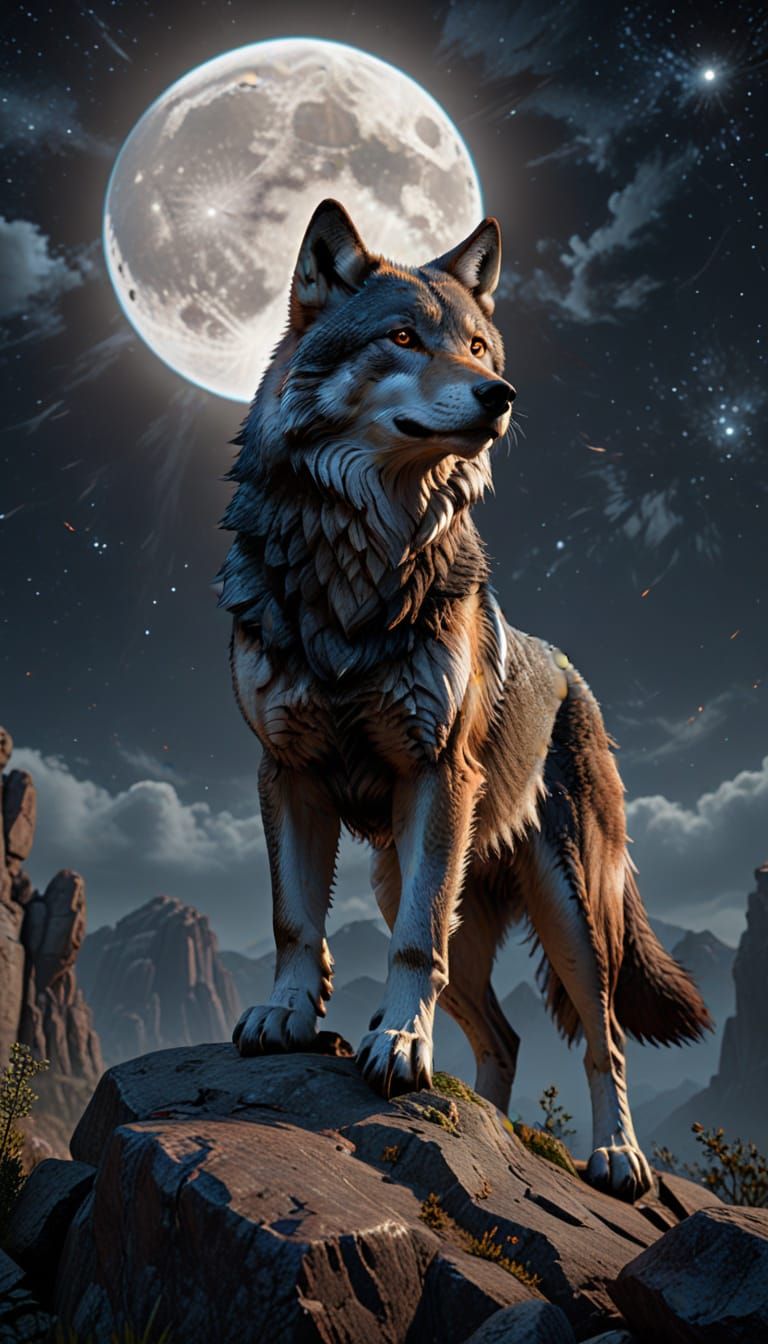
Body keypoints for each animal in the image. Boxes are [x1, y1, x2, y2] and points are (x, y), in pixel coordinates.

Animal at [217, 199, 711, 1202]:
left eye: (479, 346)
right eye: (404, 338)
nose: (502, 395)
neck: (357, 557)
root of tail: (576, 678)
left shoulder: (435, 771)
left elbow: (415, 950)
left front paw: (402, 1045)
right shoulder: (286, 769)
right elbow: (294, 920)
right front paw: (287, 1016)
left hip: (567, 905)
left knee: (603, 1038)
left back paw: (616, 1158)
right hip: (415, 877)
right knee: (508, 1033)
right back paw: (492, 1127)